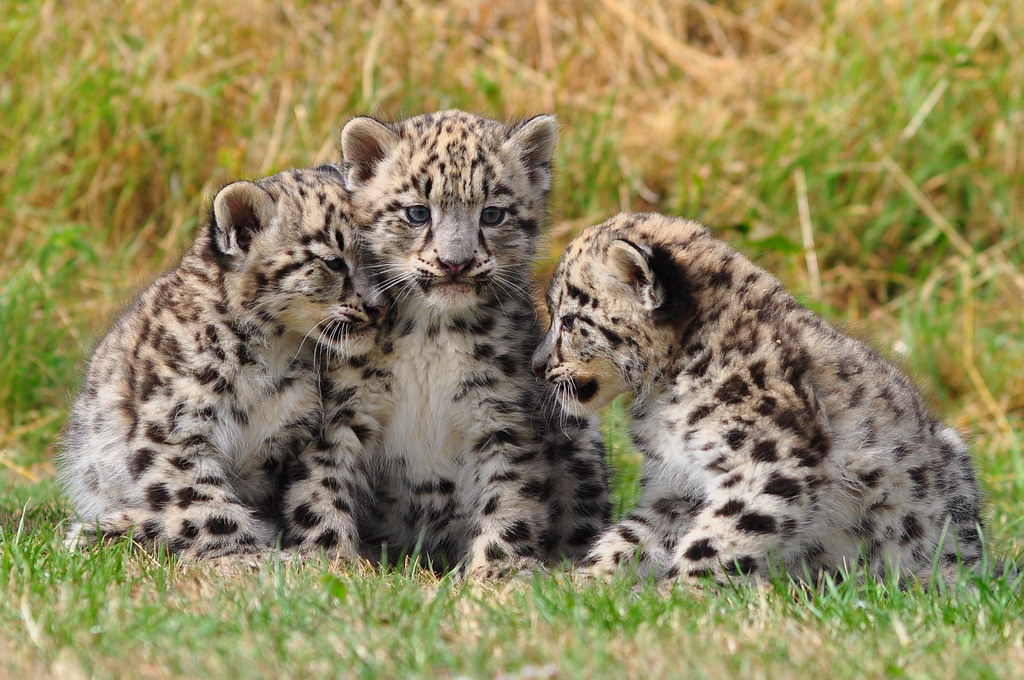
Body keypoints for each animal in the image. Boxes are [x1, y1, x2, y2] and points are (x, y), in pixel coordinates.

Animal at [59, 166, 385, 559]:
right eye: (333, 261)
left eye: (379, 258)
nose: (379, 307)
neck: (272, 354)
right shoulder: (172, 432)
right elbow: (207, 507)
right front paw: (253, 557)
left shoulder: (298, 437)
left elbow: (314, 494)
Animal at [280, 110, 611, 576]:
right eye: (418, 212)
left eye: (493, 214)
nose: (456, 263)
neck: (432, 333)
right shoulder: (340, 412)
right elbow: (321, 489)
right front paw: (327, 560)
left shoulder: (503, 420)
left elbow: (510, 498)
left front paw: (495, 572)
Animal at [533, 211, 987, 585]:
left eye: (569, 320)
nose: (537, 365)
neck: (663, 401)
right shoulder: (679, 484)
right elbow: (634, 535)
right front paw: (583, 583)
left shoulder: (771, 460)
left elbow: (719, 537)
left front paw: (679, 593)